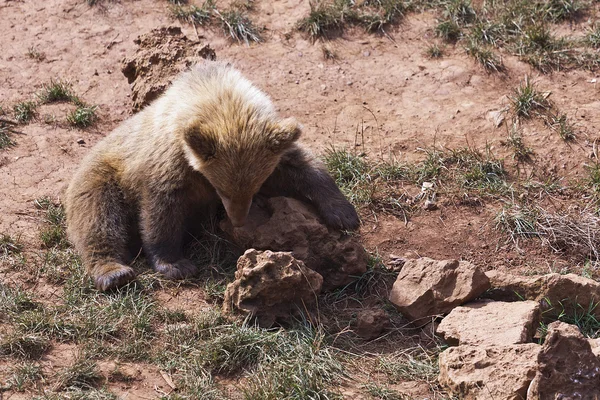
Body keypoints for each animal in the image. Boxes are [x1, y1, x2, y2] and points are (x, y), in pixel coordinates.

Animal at [65, 60, 358, 290]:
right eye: (223, 190)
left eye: (254, 187)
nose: (238, 220)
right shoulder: (170, 161)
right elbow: (161, 210)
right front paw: (175, 263)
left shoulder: (274, 152)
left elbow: (305, 168)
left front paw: (343, 214)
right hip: (102, 177)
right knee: (98, 219)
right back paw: (114, 272)